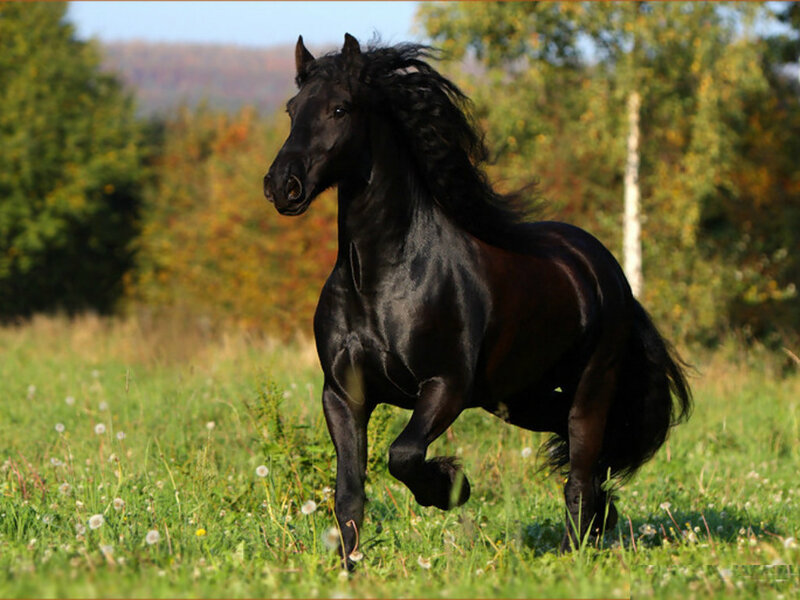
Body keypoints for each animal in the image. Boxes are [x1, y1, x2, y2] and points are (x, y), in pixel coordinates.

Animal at [263, 34, 691, 569]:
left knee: (578, 472)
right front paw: (350, 570)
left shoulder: (445, 387)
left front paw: (452, 487)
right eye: (291, 109)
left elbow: (403, 454)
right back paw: (601, 521)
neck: (380, 280)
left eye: (340, 108)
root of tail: (607, 270)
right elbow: (349, 496)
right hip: (519, 398)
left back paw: (573, 552)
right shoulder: (343, 395)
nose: (282, 185)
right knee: (578, 454)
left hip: (591, 388)